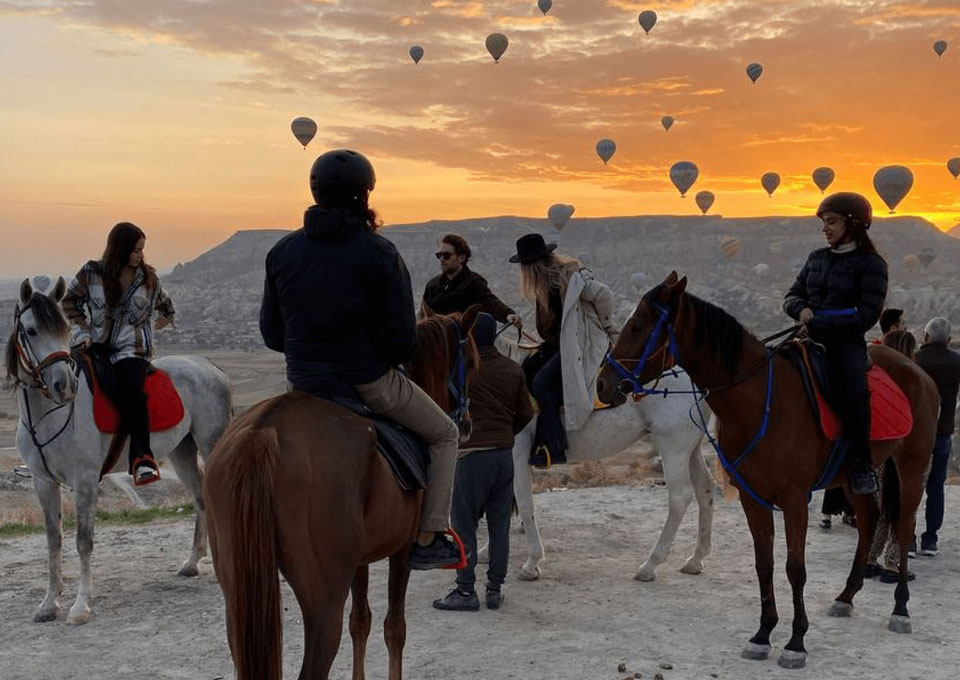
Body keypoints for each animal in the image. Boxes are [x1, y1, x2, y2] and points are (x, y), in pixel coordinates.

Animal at [5, 277, 233, 625]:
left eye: (64, 329)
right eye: (30, 331)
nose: (64, 386)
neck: (48, 416)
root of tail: (208, 365)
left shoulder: (85, 482)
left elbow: (83, 542)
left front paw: (80, 606)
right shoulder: (43, 483)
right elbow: (53, 539)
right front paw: (48, 603)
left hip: (210, 444)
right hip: (182, 452)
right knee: (200, 497)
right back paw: (192, 563)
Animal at [204, 307, 480, 680]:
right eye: (473, 362)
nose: (465, 425)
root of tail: (264, 431)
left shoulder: (358, 560)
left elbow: (360, 621)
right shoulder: (402, 551)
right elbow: (395, 629)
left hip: (237, 593)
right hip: (323, 601)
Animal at [597, 272, 939, 669]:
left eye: (638, 325)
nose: (603, 383)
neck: (762, 399)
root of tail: (918, 372)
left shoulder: (794, 500)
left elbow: (795, 568)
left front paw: (796, 641)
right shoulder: (753, 498)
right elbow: (764, 564)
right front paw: (763, 634)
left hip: (912, 466)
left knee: (904, 528)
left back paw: (900, 609)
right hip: (855, 477)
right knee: (869, 520)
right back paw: (846, 596)